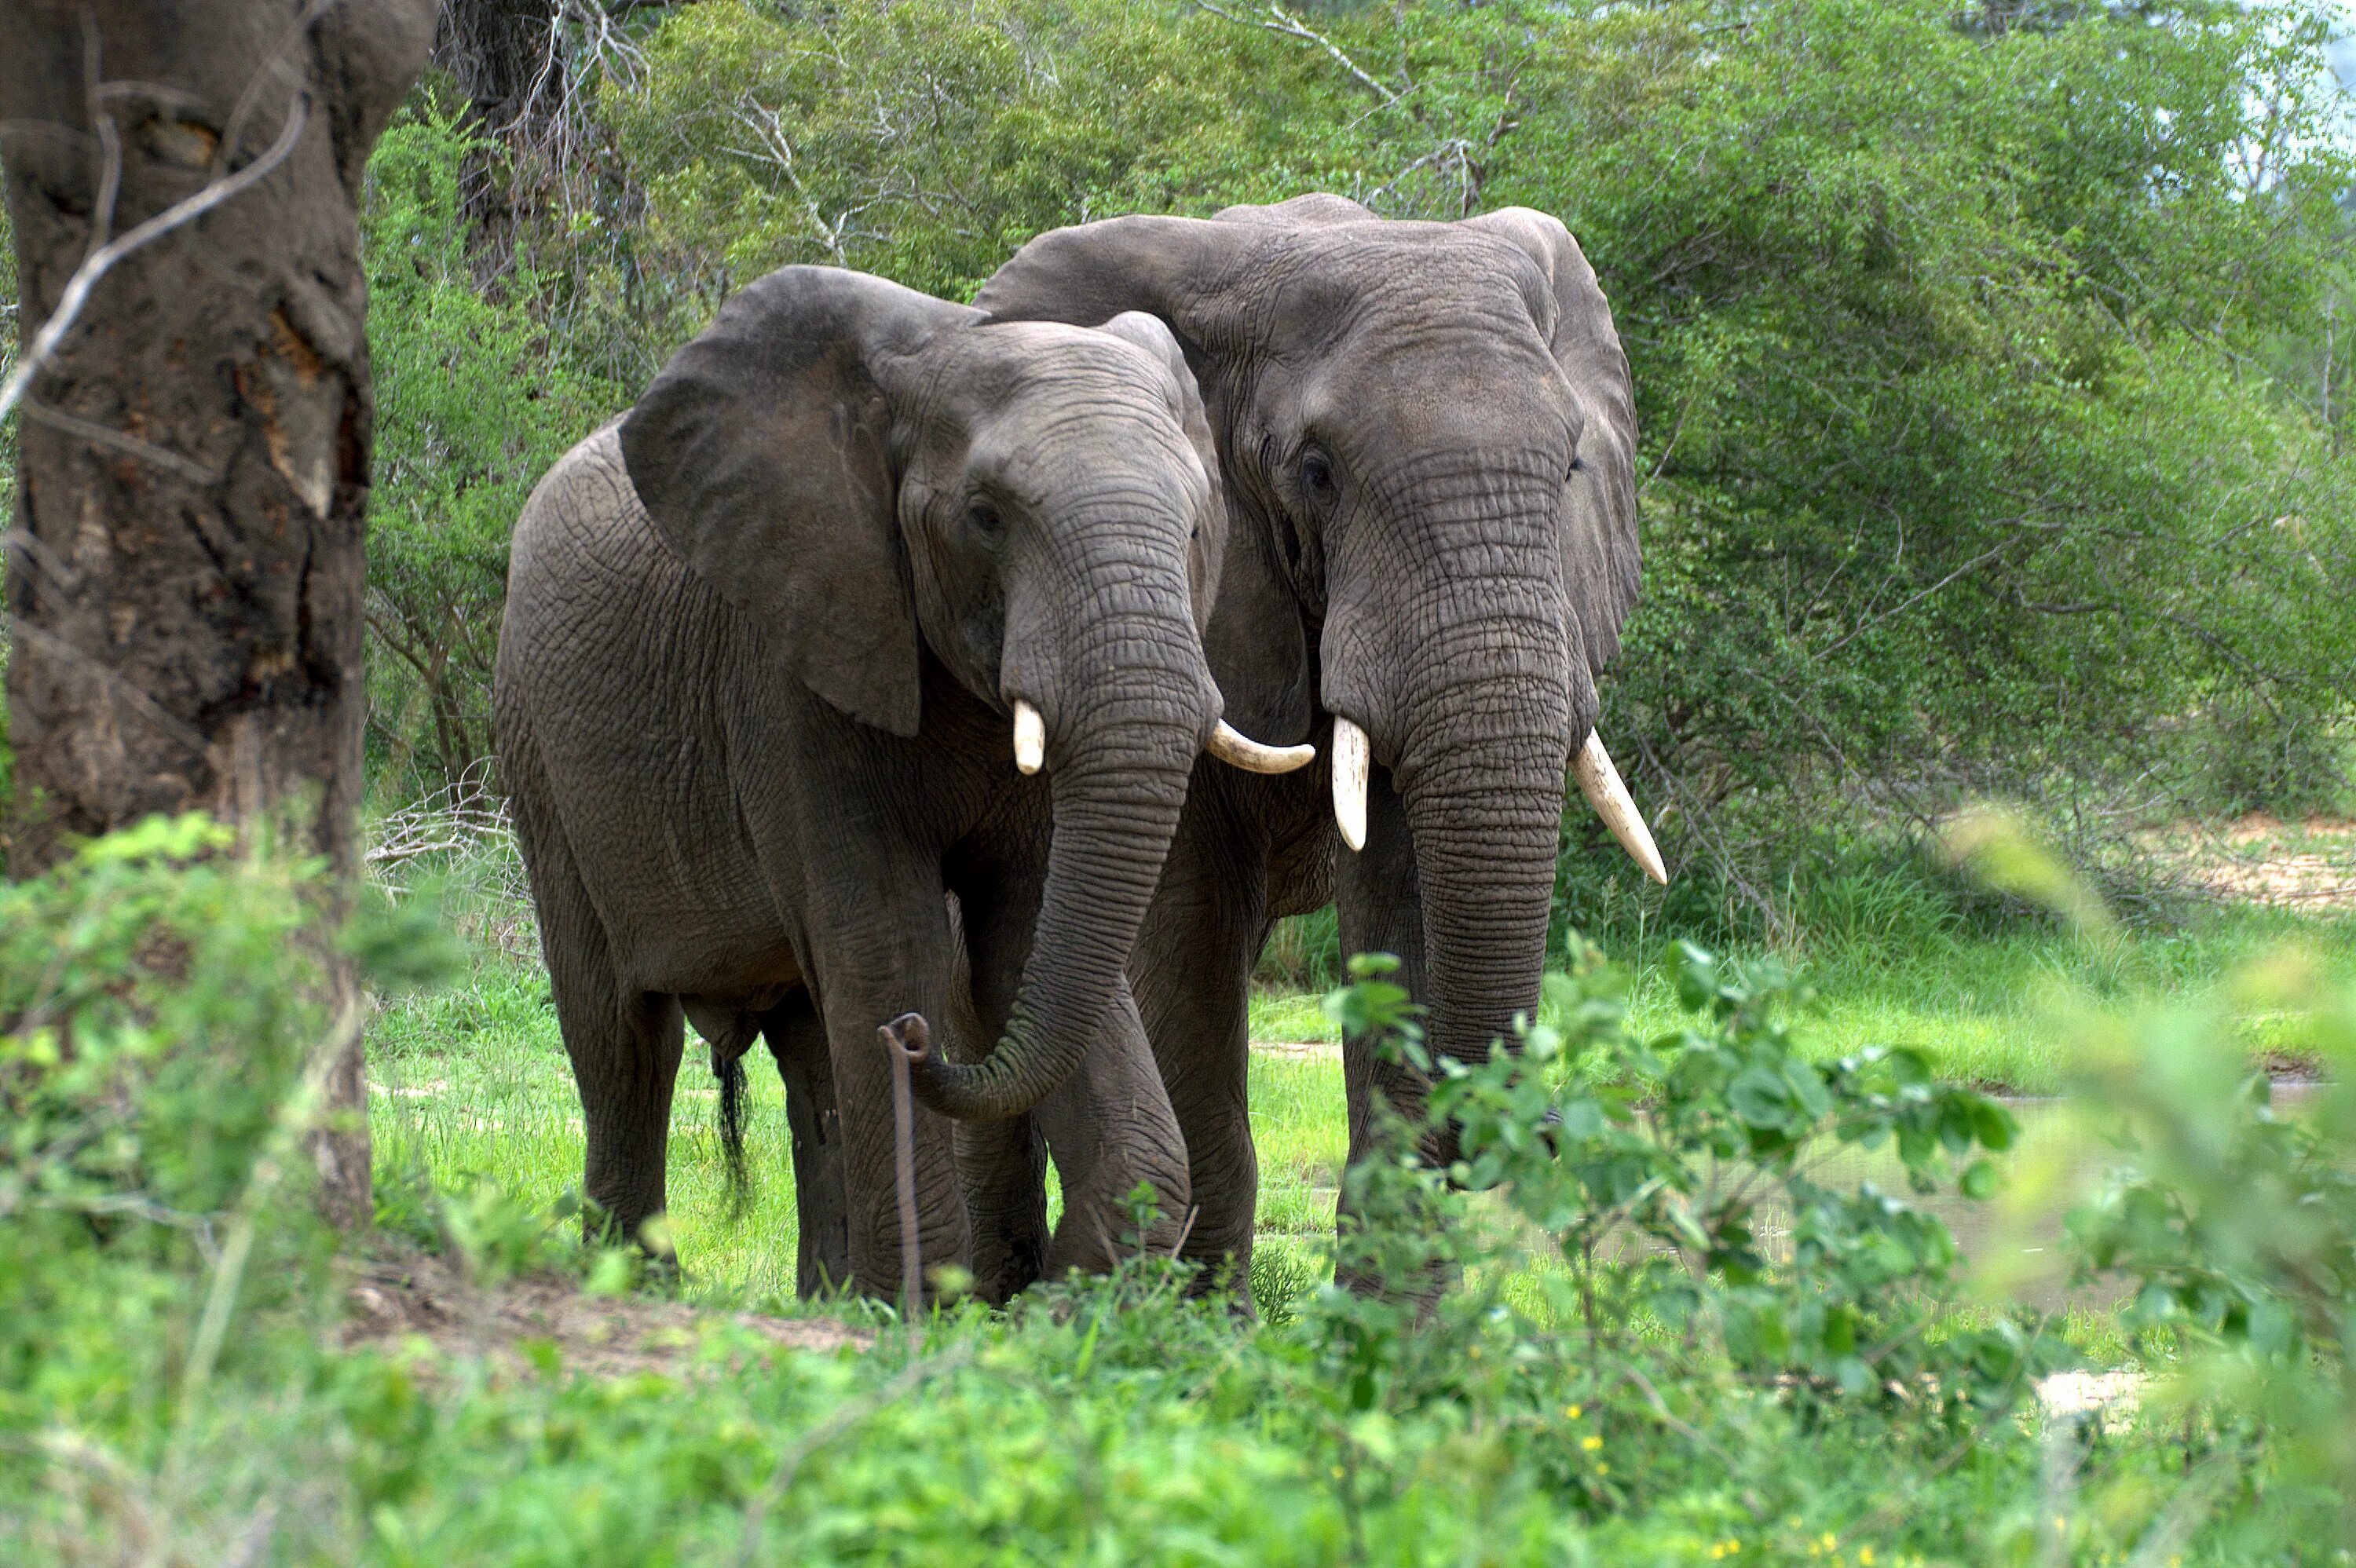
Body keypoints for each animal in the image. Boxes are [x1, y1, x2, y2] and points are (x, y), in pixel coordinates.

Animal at [909, 199, 1668, 1290]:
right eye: (1317, 472)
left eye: (1570, 466)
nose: (1554, 1124)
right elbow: (1185, 933)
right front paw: (1197, 1328)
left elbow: (1402, 899)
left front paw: (1386, 1323)